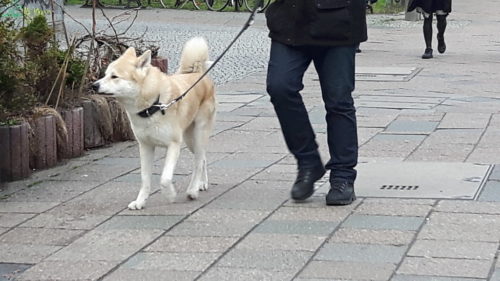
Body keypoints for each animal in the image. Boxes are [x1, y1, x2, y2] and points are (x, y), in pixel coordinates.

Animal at [92, 36, 215, 208]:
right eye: (105, 74)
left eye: (114, 76)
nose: (93, 85)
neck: (152, 106)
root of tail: (198, 73)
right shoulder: (145, 146)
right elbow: (145, 179)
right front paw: (140, 202)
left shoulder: (174, 145)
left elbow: (165, 178)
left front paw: (170, 195)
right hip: (190, 139)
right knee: (202, 158)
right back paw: (201, 183)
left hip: (197, 134)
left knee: (198, 161)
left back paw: (193, 190)